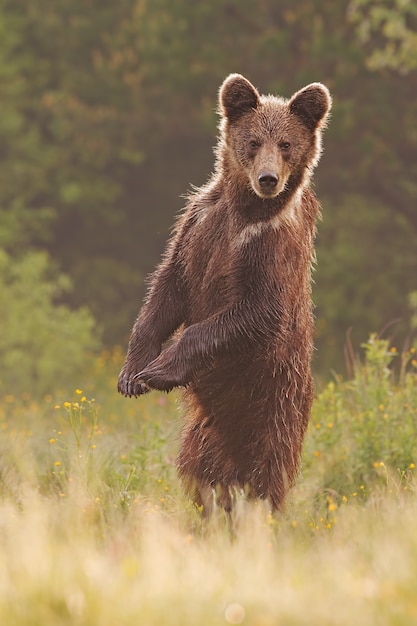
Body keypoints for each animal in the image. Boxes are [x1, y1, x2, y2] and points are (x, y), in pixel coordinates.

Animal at [118, 73, 332, 512]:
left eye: (286, 144)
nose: (268, 179)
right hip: (205, 433)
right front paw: (133, 371)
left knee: (265, 474)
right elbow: (169, 286)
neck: (246, 209)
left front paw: (160, 368)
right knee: (201, 473)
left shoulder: (272, 247)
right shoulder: (198, 224)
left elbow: (257, 311)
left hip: (276, 402)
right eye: (253, 141)